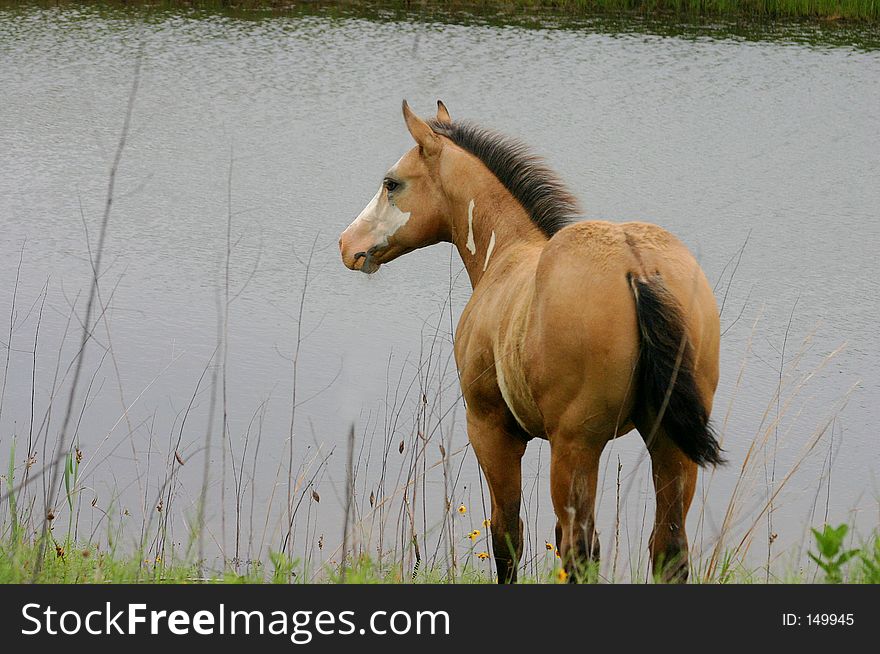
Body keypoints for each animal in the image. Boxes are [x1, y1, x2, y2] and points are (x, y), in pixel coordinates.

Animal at [336, 101, 720, 584]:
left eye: (392, 183)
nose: (347, 243)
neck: (506, 253)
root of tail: (637, 268)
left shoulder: (491, 430)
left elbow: (506, 536)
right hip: (668, 443)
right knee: (668, 548)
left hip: (577, 446)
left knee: (580, 548)